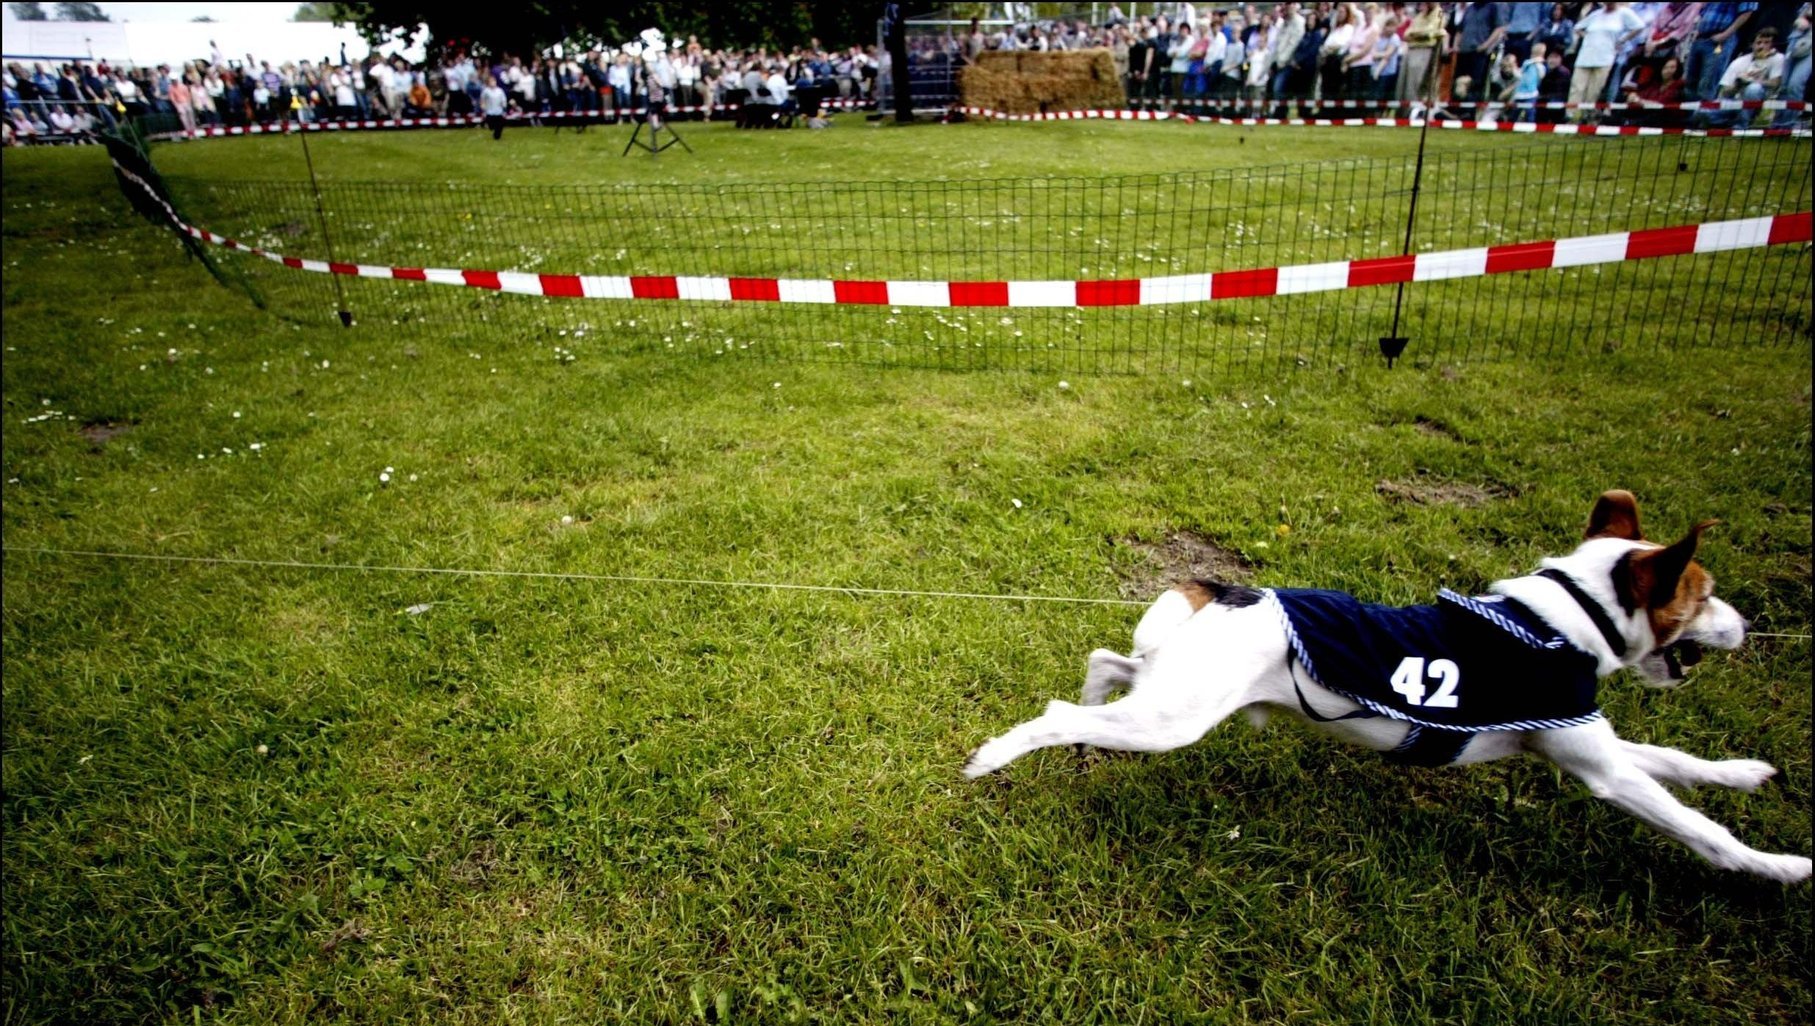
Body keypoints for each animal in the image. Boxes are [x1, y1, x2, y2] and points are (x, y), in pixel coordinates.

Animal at [958, 486, 1807, 878]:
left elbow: (1679, 764)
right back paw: (997, 756)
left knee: (1105, 665)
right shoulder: (1601, 771)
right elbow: (1698, 828)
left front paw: (1745, 773)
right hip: (1170, 721)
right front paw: (1781, 867)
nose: (1740, 624)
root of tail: (1228, 591)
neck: (1567, 618)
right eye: (1703, 595)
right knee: (1057, 711)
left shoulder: (1575, 739)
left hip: (1174, 690)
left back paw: (1085, 715)